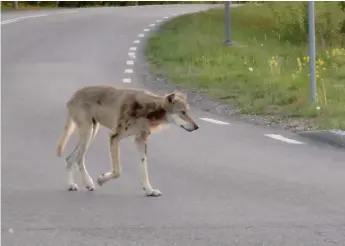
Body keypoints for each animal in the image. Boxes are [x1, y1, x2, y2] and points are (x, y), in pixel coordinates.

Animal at [56, 85, 199, 197]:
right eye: (182, 112)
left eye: (188, 112)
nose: (197, 127)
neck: (149, 110)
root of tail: (74, 96)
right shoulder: (114, 137)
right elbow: (118, 171)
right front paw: (101, 179)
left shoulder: (141, 140)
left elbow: (144, 168)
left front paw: (149, 190)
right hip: (88, 133)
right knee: (79, 159)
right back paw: (88, 183)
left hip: (92, 133)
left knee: (70, 158)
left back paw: (71, 185)